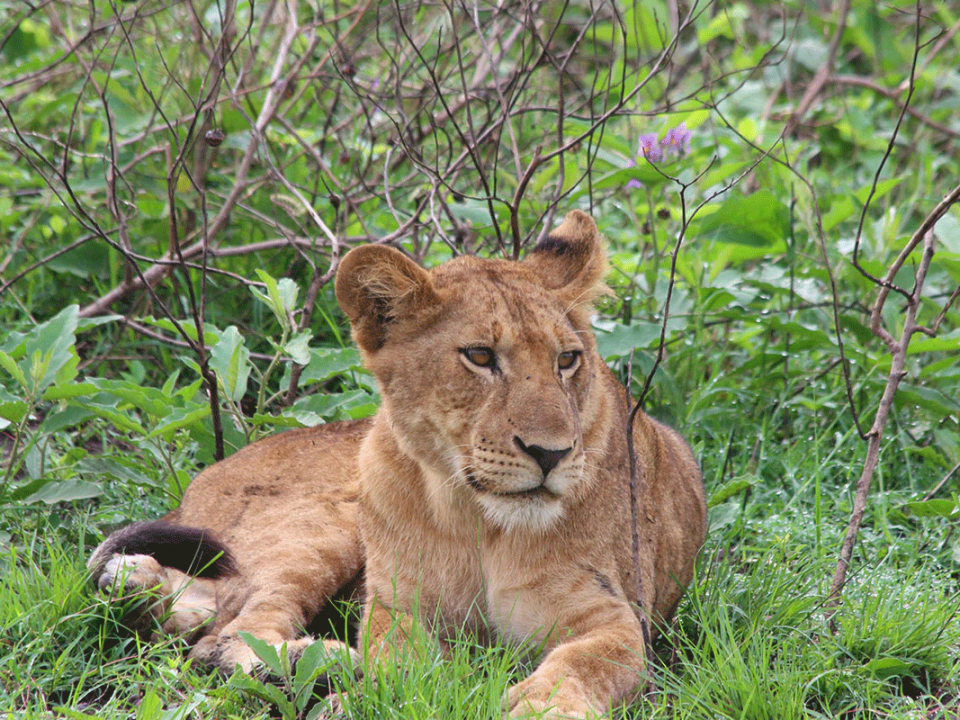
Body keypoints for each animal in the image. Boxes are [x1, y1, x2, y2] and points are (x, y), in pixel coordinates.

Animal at [89, 210, 706, 719]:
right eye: (480, 356)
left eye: (568, 360)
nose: (551, 453)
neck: (477, 522)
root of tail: (202, 481)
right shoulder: (398, 609)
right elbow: (409, 670)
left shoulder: (613, 618)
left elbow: (581, 665)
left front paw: (537, 705)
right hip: (320, 526)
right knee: (227, 637)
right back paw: (321, 666)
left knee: (199, 620)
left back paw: (138, 584)